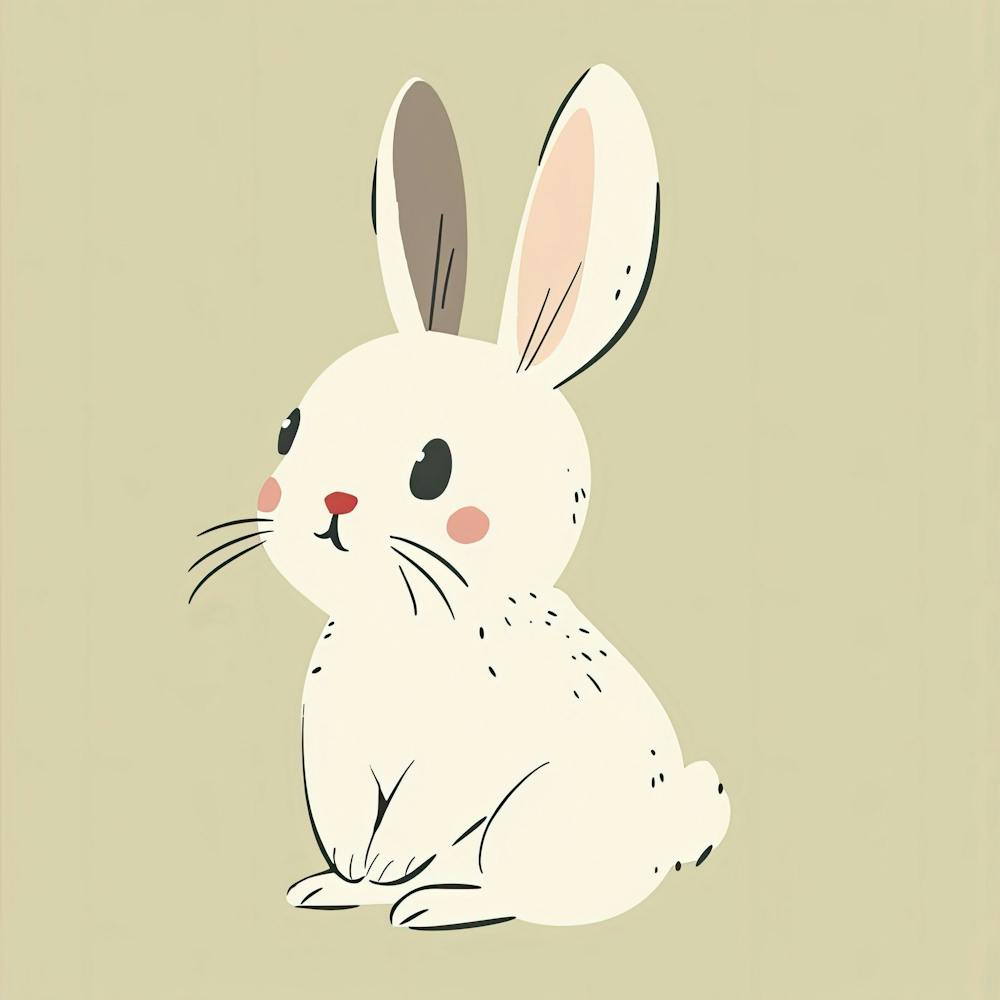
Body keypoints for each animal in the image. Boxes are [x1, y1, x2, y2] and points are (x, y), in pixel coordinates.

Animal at [192, 64, 730, 929]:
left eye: (434, 468)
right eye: (288, 429)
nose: (332, 501)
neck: (401, 625)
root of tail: (663, 843)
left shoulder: (465, 758)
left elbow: (419, 814)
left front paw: (384, 868)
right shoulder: (332, 751)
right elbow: (345, 817)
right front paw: (344, 877)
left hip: (533, 826)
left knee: (514, 891)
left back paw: (431, 904)